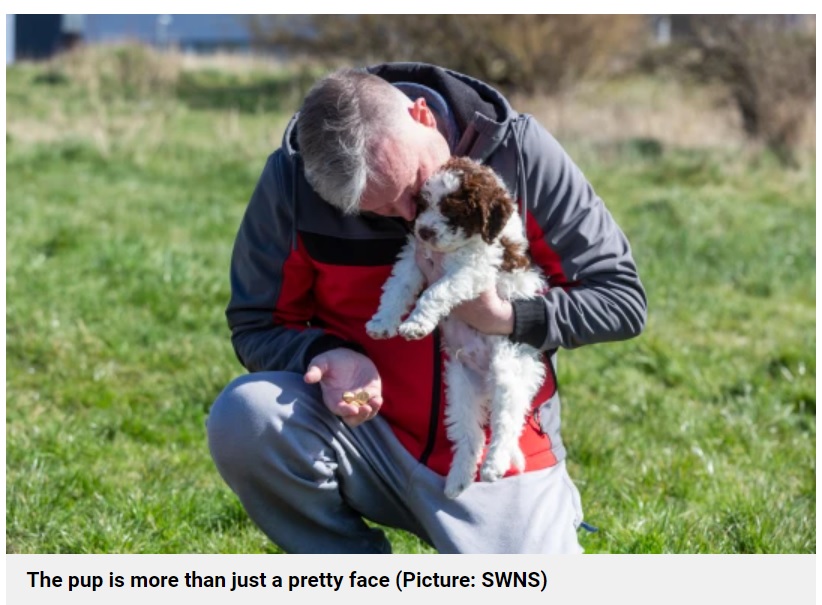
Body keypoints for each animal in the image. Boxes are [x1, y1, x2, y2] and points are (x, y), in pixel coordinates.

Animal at [366, 155, 548, 496]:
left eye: (453, 212)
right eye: (423, 204)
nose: (424, 231)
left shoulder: (473, 270)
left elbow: (435, 292)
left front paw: (415, 324)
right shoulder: (414, 257)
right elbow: (398, 287)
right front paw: (383, 322)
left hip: (509, 371)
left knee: (507, 422)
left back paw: (494, 466)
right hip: (460, 386)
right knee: (470, 435)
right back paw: (458, 480)